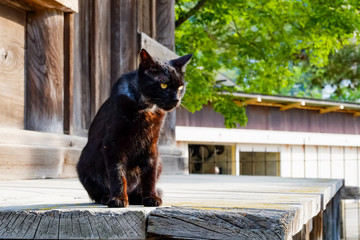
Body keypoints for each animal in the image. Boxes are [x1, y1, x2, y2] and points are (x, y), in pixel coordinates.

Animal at [76, 49, 191, 208]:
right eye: (164, 85)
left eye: (180, 87)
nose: (176, 99)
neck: (146, 107)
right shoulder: (112, 144)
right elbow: (117, 173)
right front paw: (118, 199)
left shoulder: (151, 145)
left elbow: (149, 174)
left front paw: (151, 197)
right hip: (84, 164)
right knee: (98, 192)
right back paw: (108, 197)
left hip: (160, 161)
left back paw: (138, 196)